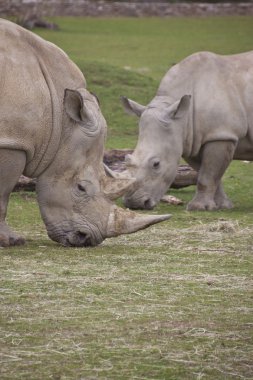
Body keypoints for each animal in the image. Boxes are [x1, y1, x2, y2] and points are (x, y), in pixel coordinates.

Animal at [0, 19, 170, 248]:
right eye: (81, 187)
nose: (86, 239)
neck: (59, 120)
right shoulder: (12, 141)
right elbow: (3, 192)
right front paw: (12, 241)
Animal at [120, 50, 253, 211]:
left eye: (156, 164)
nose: (134, 203)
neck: (181, 119)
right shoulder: (192, 140)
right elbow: (208, 172)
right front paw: (222, 206)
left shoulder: (221, 134)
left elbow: (208, 175)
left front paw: (198, 207)